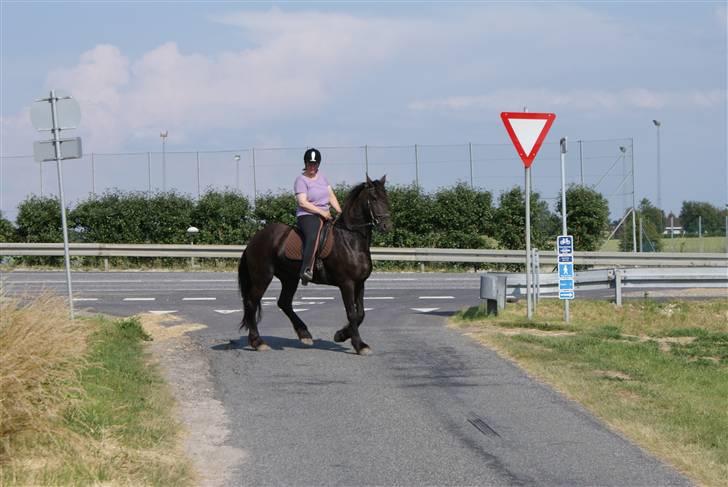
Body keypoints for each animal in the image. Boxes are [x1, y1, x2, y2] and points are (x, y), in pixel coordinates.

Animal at [237, 175, 390, 354]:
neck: (351, 239)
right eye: (373, 198)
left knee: (284, 302)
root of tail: (253, 240)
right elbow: (352, 313)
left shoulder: (360, 283)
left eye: (386, 197)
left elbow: (361, 314)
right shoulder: (347, 284)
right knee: (251, 303)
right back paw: (257, 342)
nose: (387, 225)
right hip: (262, 277)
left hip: (289, 278)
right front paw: (359, 345)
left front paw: (341, 335)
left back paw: (304, 334)